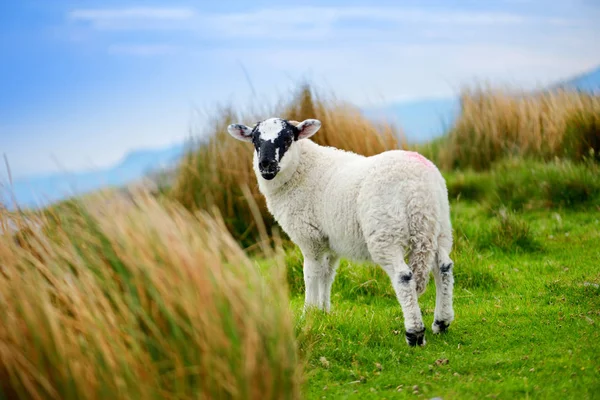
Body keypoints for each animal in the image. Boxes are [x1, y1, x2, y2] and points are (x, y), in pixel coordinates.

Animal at [226, 117, 454, 346]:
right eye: (255, 140)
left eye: (288, 139)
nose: (266, 165)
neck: (301, 169)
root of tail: (419, 188)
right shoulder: (330, 241)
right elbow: (327, 275)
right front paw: (323, 312)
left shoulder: (310, 238)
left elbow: (310, 274)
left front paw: (308, 313)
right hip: (439, 227)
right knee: (443, 268)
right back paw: (441, 323)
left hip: (385, 231)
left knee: (404, 277)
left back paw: (414, 333)